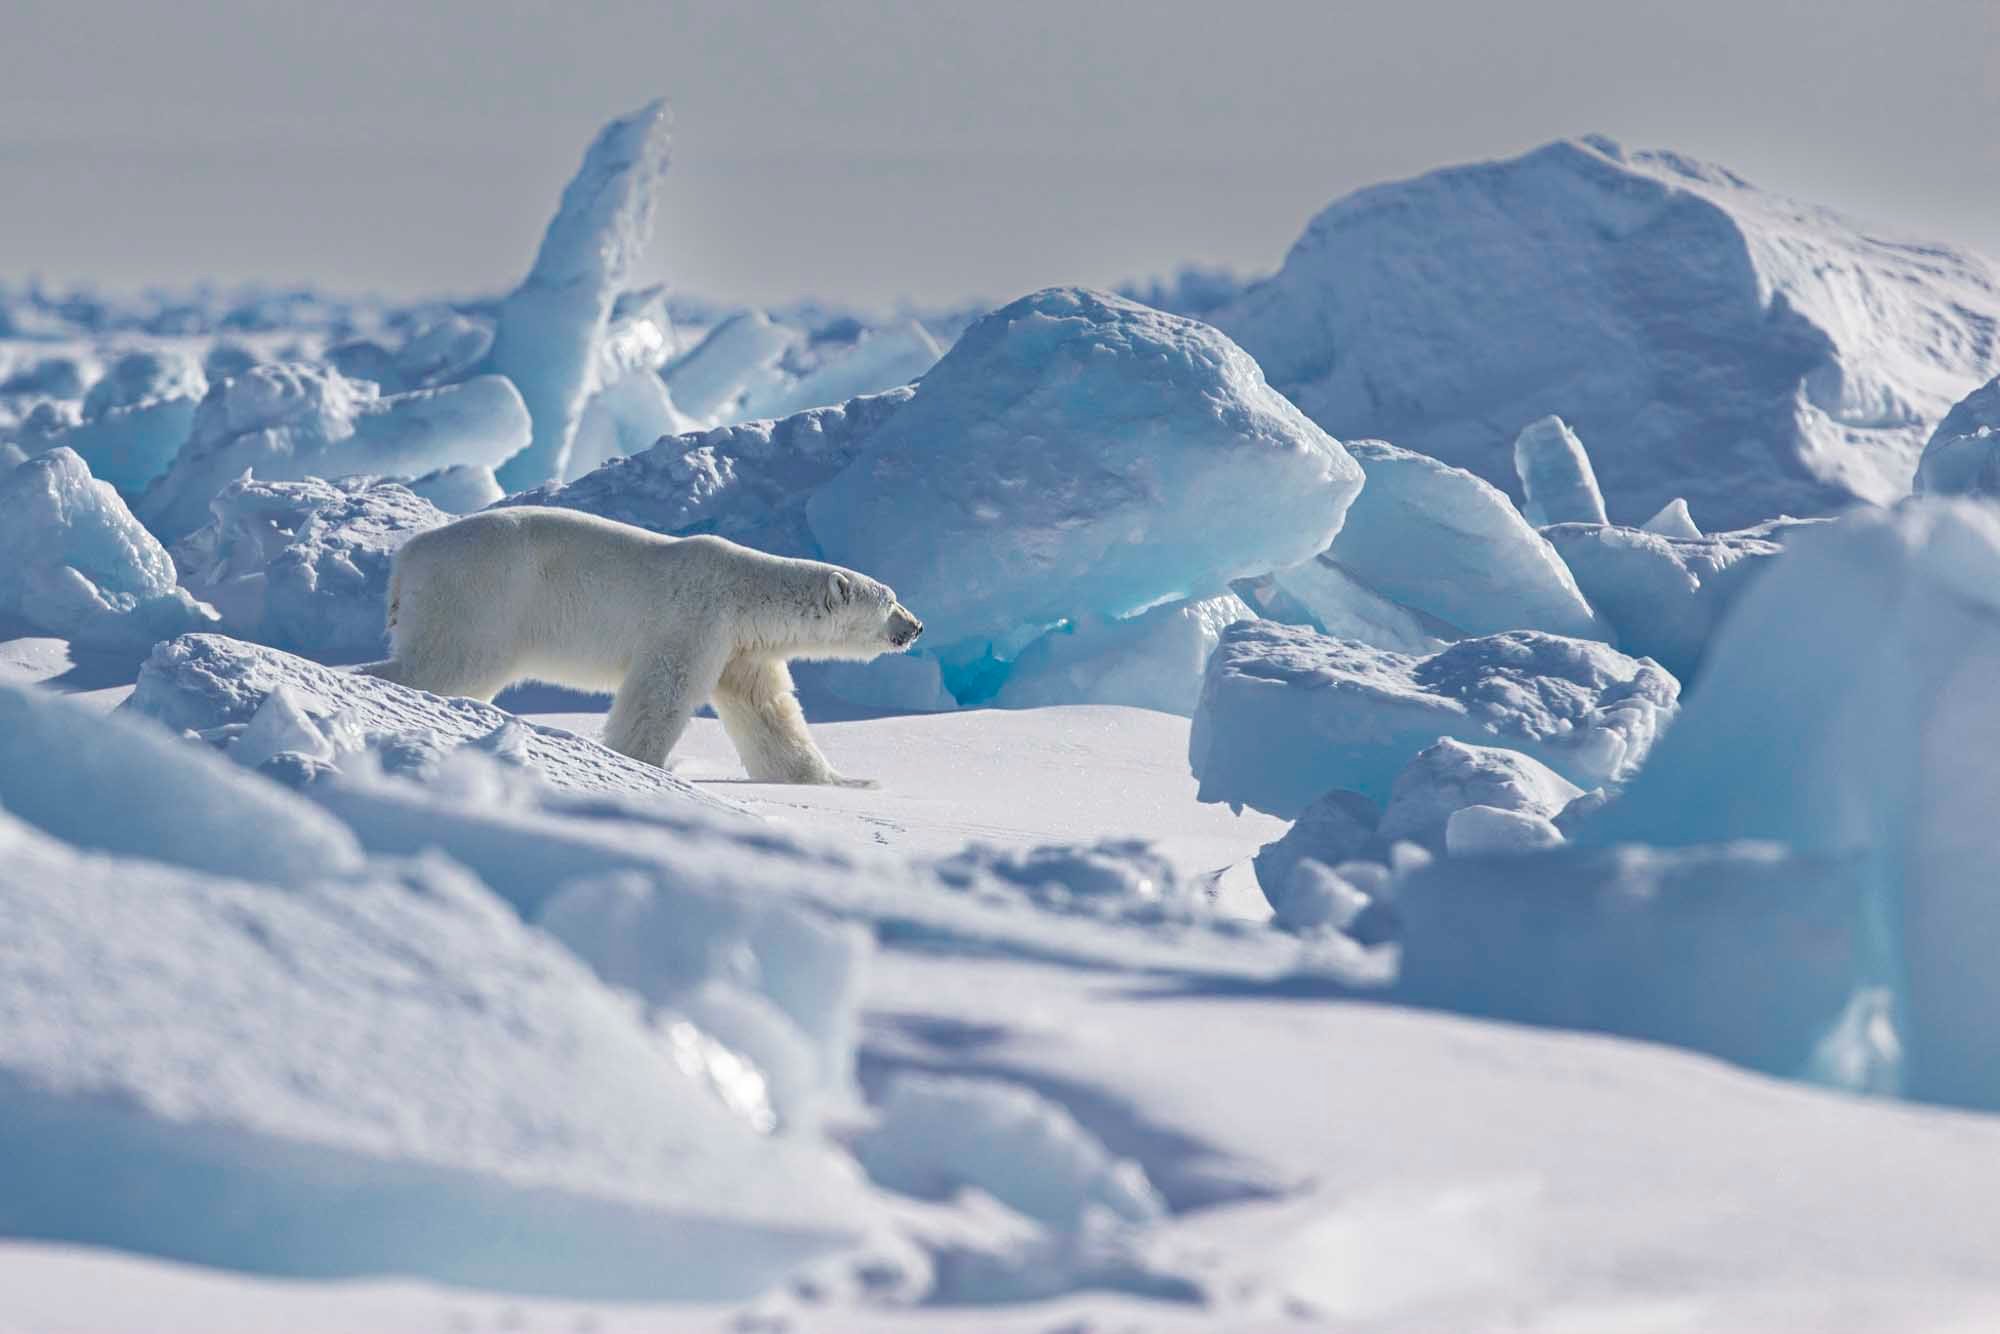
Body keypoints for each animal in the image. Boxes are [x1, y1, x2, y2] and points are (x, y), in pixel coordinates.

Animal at [360, 508, 920, 784]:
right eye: (891, 601)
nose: (916, 626)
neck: (745, 593)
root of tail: (407, 557)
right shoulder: (694, 620)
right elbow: (661, 693)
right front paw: (637, 763)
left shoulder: (740, 648)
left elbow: (768, 710)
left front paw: (838, 781)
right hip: (484, 593)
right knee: (454, 663)